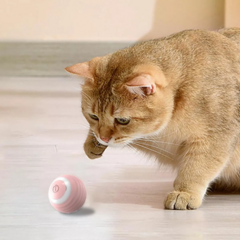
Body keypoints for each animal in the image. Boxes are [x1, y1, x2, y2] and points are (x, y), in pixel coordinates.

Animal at [64, 27, 240, 209]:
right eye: (93, 116)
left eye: (122, 120)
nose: (103, 138)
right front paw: (92, 142)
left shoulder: (215, 138)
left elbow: (197, 168)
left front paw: (184, 192)